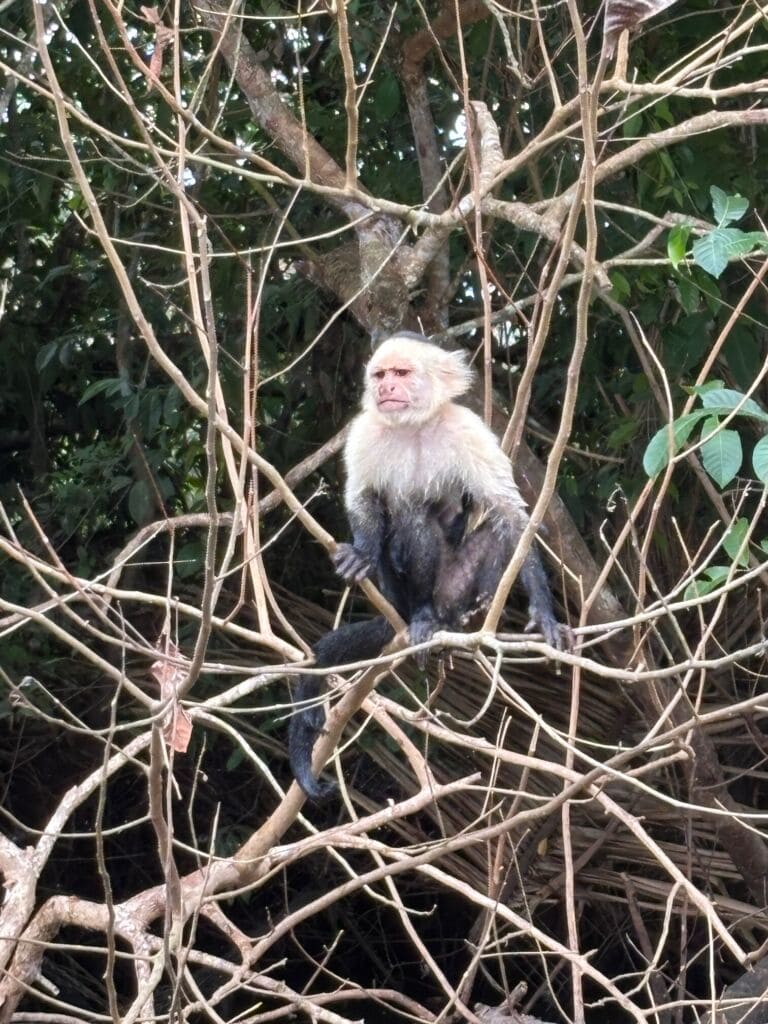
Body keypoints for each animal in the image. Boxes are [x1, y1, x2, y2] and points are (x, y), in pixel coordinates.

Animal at [289, 331, 566, 801]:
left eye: (401, 373)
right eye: (380, 375)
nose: (385, 388)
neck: (412, 426)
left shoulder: (468, 429)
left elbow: (511, 515)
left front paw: (543, 612)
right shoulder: (365, 431)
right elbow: (364, 500)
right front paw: (362, 552)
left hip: (459, 587)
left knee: (488, 529)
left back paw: (455, 616)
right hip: (395, 593)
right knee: (413, 520)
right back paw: (419, 615)